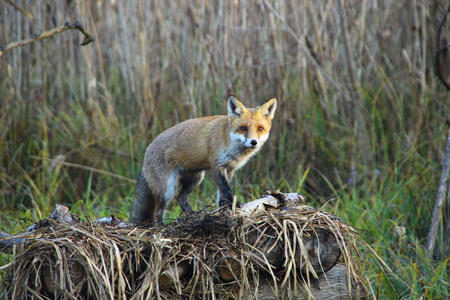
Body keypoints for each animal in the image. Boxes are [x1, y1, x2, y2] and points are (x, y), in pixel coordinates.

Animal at [130, 95, 276, 223]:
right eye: (243, 128)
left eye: (260, 128)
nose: (253, 142)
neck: (229, 140)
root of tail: (146, 152)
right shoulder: (217, 166)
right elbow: (226, 190)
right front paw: (230, 206)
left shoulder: (229, 169)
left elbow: (221, 194)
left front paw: (224, 210)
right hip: (167, 190)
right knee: (157, 211)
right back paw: (161, 227)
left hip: (195, 179)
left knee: (180, 199)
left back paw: (193, 216)